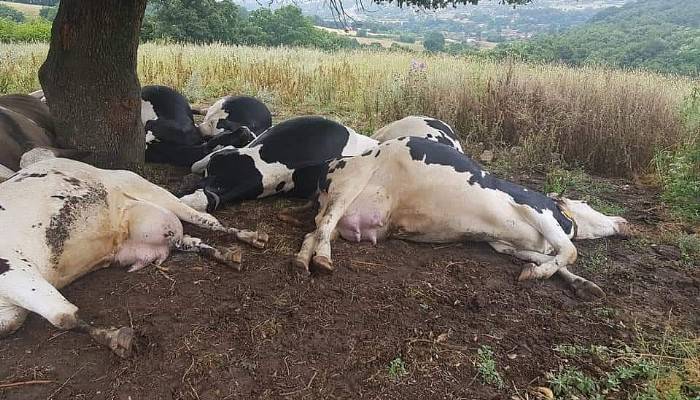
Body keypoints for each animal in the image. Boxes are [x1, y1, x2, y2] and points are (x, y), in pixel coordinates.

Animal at [0, 155, 270, 356]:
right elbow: (13, 324)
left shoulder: (13, 266)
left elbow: (63, 316)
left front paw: (115, 338)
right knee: (188, 241)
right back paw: (225, 254)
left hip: (147, 188)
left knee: (206, 219)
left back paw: (250, 236)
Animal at [290, 138, 628, 300]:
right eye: (587, 203)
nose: (625, 221)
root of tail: (332, 164)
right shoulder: (535, 209)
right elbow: (570, 251)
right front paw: (540, 273)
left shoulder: (504, 245)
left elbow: (552, 259)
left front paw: (576, 282)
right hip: (348, 186)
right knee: (325, 225)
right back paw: (322, 259)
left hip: (344, 217)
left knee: (313, 232)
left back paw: (303, 261)